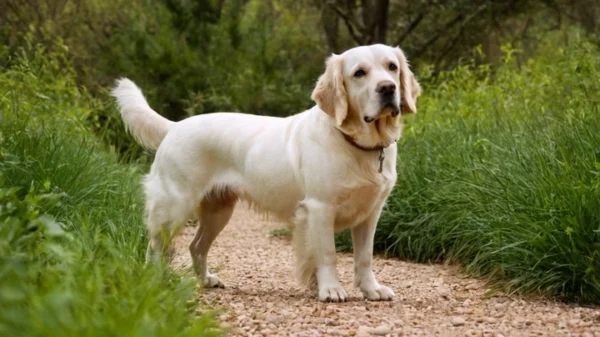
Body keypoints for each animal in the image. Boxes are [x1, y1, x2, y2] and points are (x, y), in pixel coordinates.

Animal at [112, 42, 422, 302]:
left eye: (392, 67)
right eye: (359, 73)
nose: (387, 88)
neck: (356, 144)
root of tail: (174, 126)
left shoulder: (370, 213)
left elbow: (365, 257)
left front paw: (371, 289)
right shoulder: (320, 208)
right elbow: (327, 254)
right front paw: (331, 289)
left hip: (218, 211)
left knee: (196, 246)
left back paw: (206, 280)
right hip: (174, 206)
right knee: (155, 247)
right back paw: (155, 281)